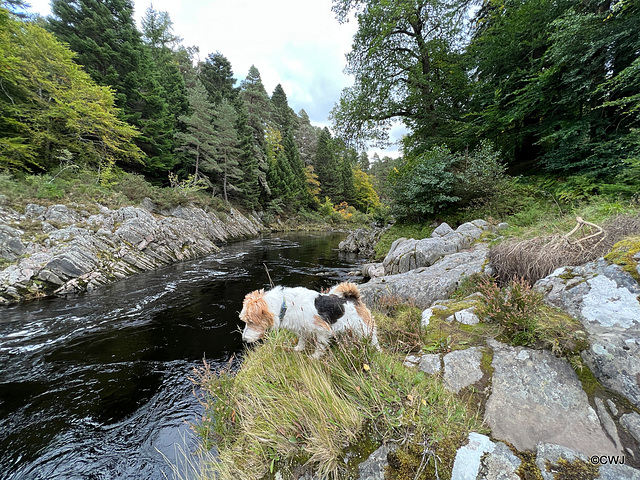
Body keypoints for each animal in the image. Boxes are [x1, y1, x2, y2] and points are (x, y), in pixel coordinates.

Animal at [240, 282, 380, 356]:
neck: (284, 305)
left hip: (365, 328)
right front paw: (299, 349)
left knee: (374, 339)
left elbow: (320, 346)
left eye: (251, 321)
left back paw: (377, 351)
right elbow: (302, 340)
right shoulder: (301, 328)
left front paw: (315, 357)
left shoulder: (323, 331)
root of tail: (354, 299)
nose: (244, 339)